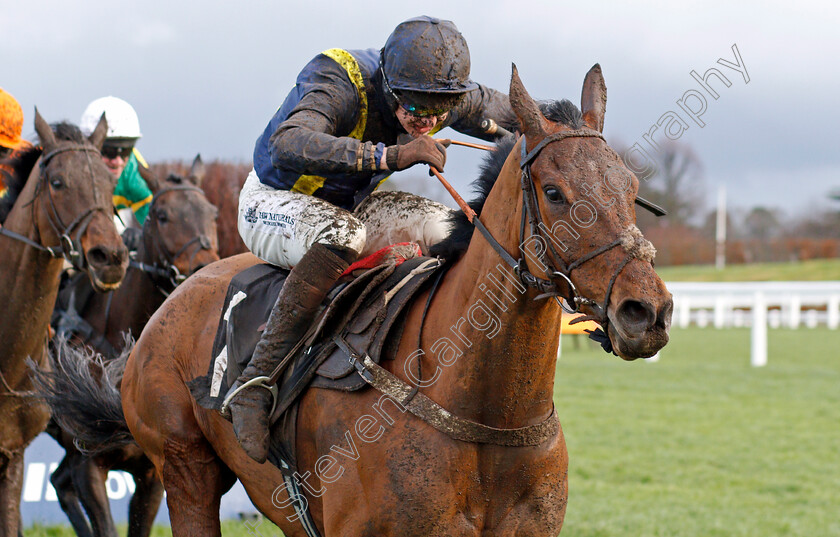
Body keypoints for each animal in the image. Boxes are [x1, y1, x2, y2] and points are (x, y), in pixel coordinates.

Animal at [44, 155, 220, 536]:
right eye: (162, 215)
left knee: (58, 482)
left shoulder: (153, 472)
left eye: (213, 214)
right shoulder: (89, 466)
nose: (203, 268)